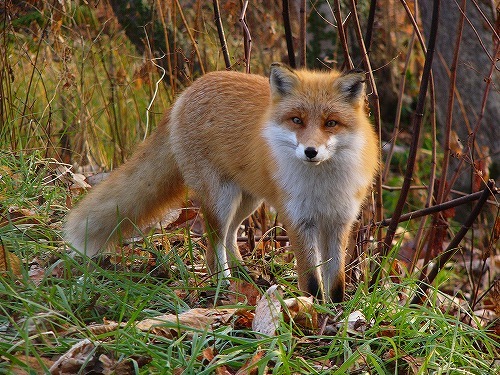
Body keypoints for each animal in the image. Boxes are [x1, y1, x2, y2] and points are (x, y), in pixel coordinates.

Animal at [66, 63, 378, 304]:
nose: (310, 152)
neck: (322, 185)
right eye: (297, 120)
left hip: (248, 200)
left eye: (331, 123)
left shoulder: (339, 222)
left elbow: (335, 279)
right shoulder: (299, 220)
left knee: (230, 236)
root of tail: (187, 92)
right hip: (220, 199)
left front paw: (337, 311)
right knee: (213, 245)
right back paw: (225, 286)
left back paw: (244, 276)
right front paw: (314, 312)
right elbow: (312, 280)